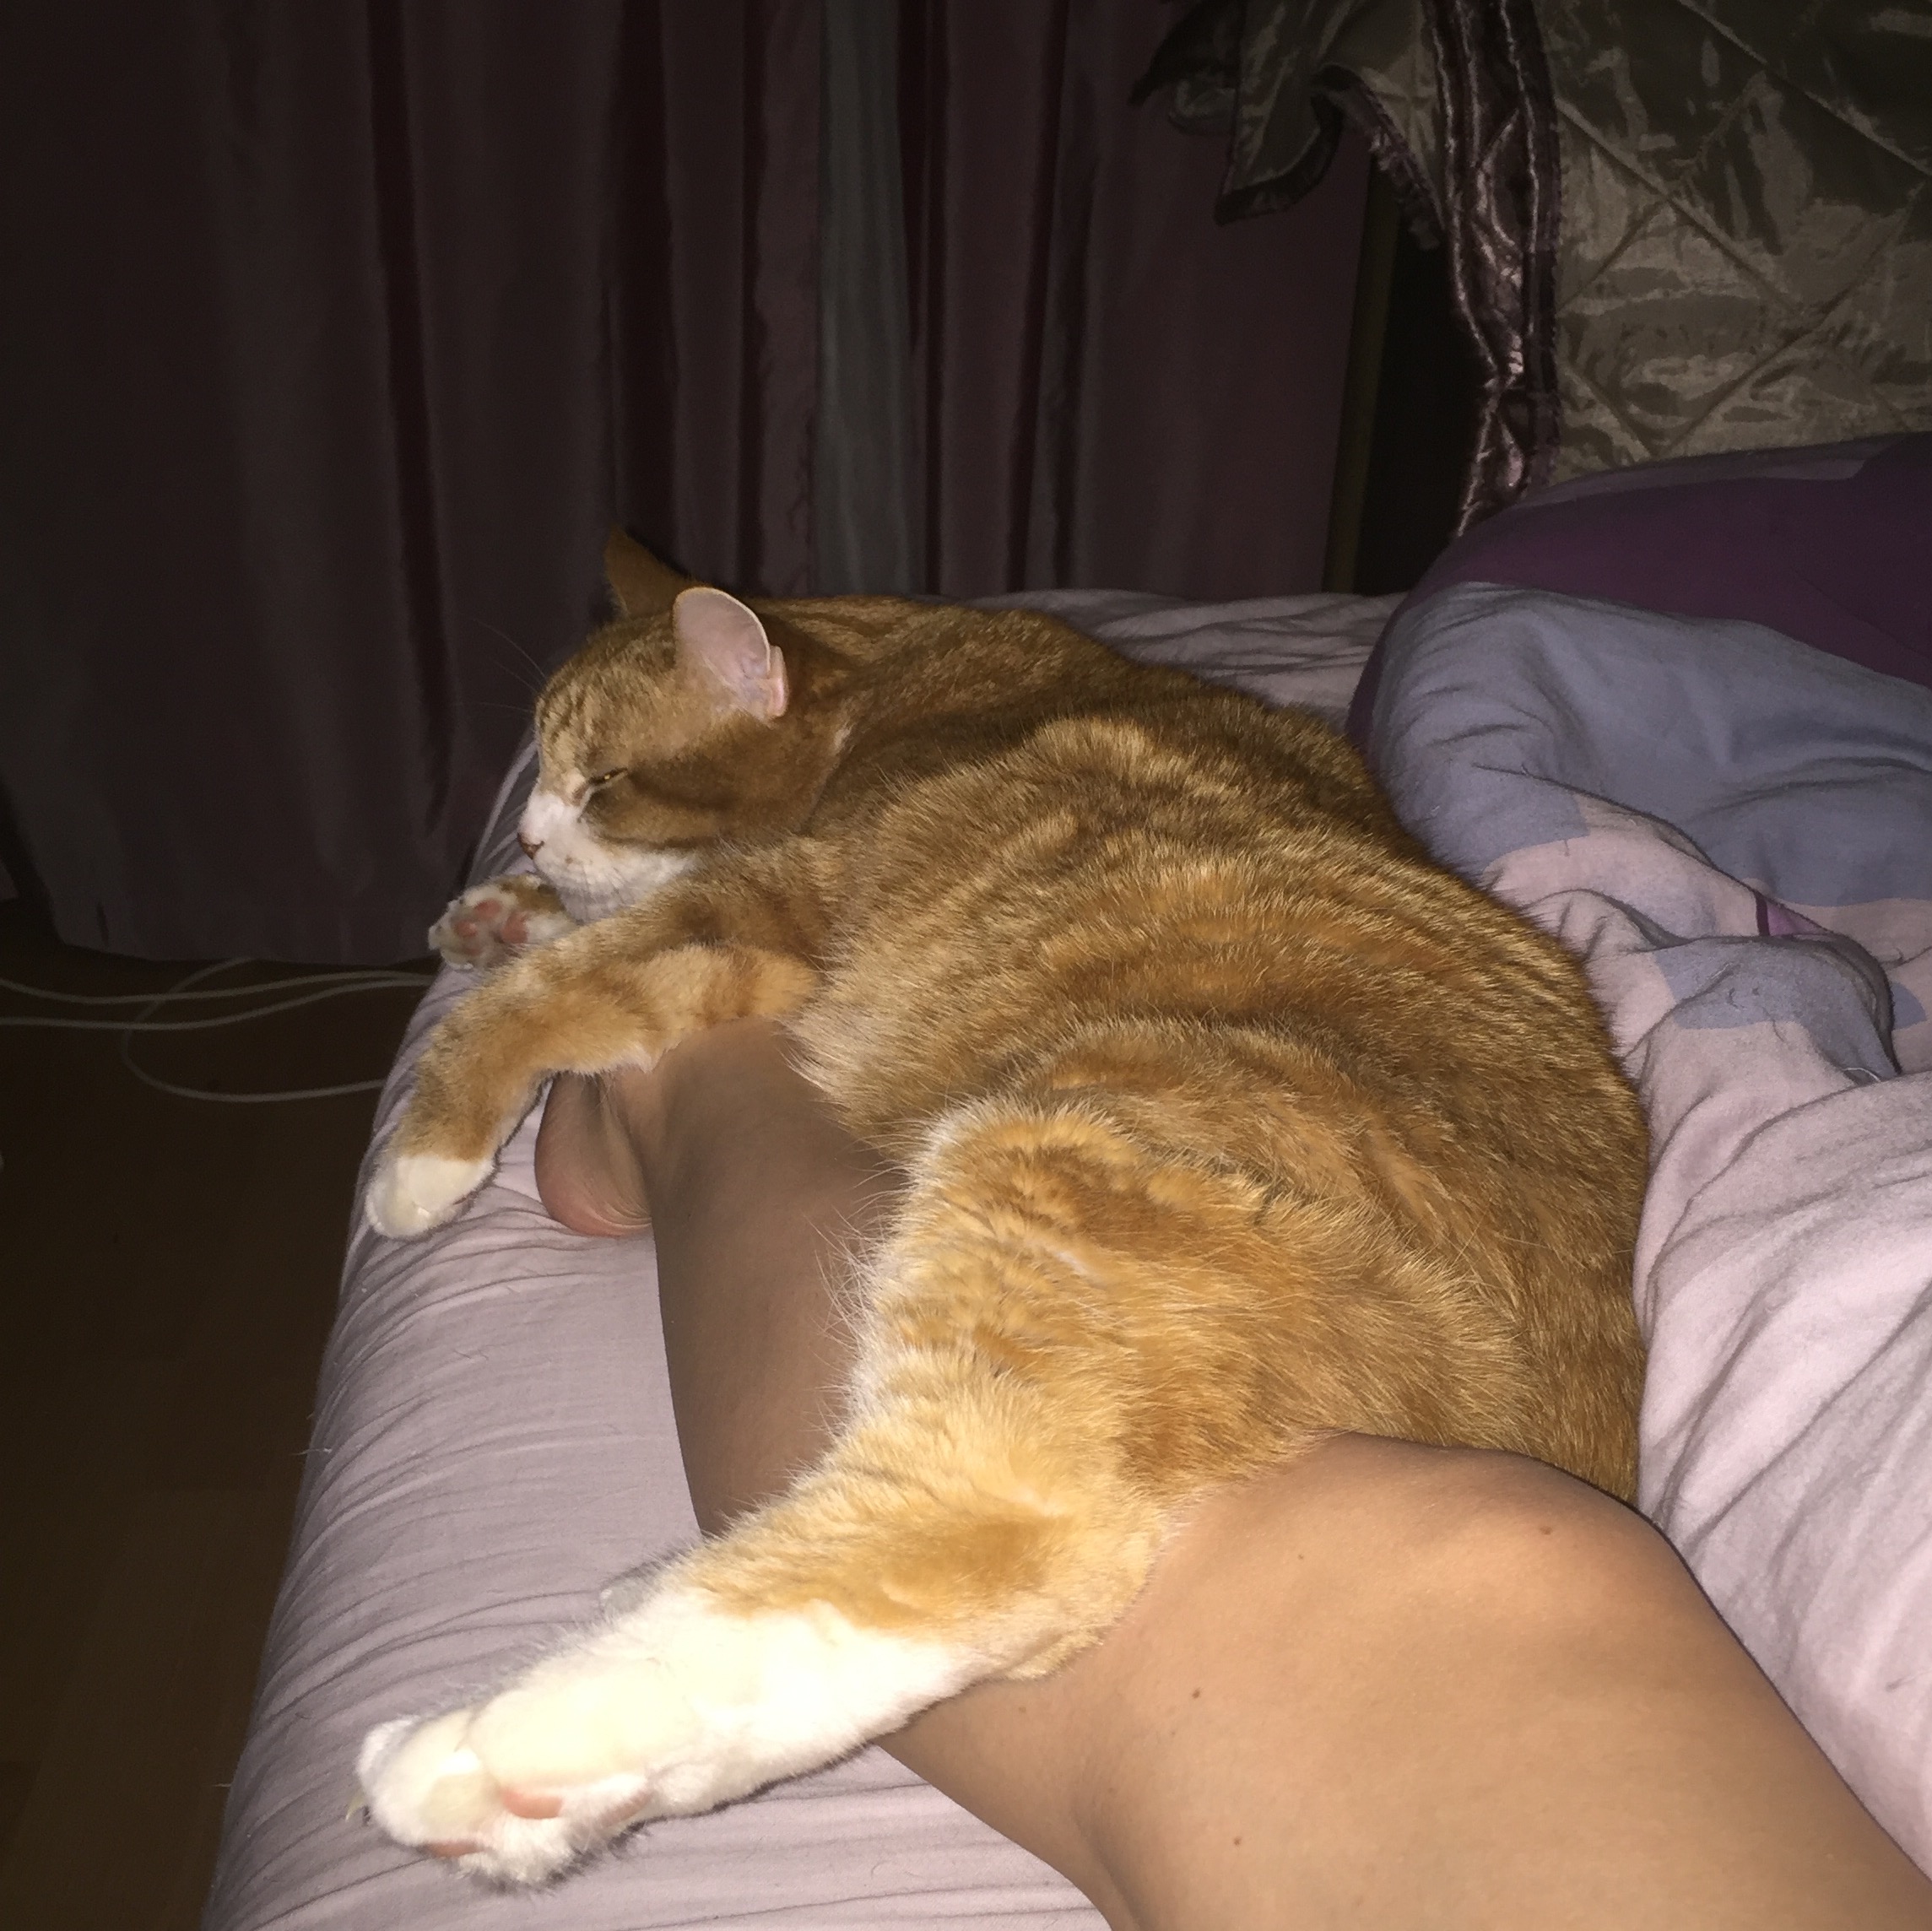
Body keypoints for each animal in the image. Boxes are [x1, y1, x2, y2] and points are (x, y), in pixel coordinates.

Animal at [358, 530, 1648, 1884]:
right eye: (540, 768)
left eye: (603, 782)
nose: (527, 837)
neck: (908, 680)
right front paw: (497, 913)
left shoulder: (770, 905)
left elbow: (540, 998)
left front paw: (426, 1151)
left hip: (1052, 1168)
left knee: (992, 1532)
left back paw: (492, 1755)